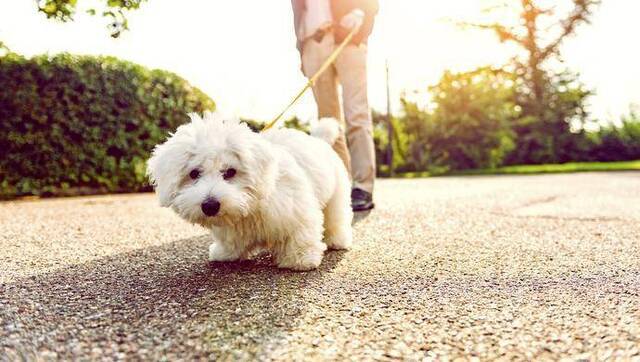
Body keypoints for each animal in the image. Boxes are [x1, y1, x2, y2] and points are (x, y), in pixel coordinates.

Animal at [147, 111, 352, 270]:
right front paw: (225, 253)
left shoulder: (296, 211)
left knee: (336, 218)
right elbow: (230, 240)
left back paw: (337, 240)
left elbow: (300, 235)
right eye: (194, 173)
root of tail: (318, 140)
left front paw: (300, 259)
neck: (251, 206)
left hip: (337, 195)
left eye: (230, 172)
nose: (210, 205)